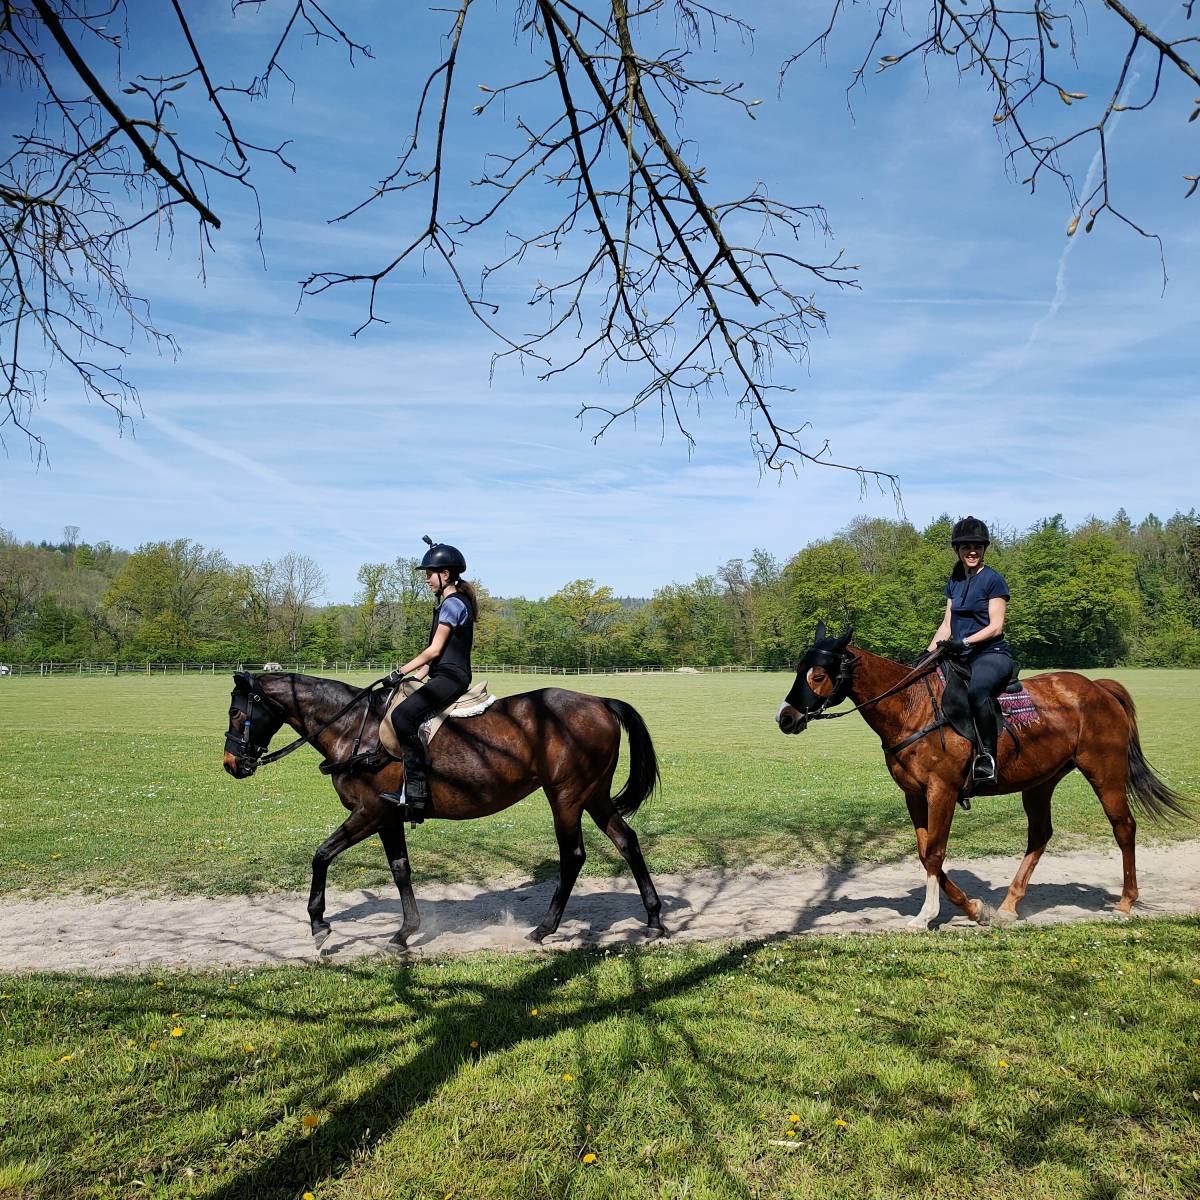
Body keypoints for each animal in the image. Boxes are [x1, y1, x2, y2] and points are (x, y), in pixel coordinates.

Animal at [218, 672, 667, 950]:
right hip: (594, 795)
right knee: (627, 840)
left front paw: (318, 924)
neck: (355, 730)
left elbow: (321, 854)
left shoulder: (368, 813)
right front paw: (405, 932)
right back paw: (654, 918)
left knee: (573, 856)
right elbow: (400, 870)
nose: (231, 764)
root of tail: (599, 701)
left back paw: (544, 928)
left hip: (567, 796)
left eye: (237, 712)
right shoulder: (388, 819)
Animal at [777, 628, 1190, 926]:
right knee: (1040, 834)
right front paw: (975, 909)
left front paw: (927, 916)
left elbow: (935, 851)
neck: (912, 706)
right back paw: (1008, 905)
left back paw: (1125, 903)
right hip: (1041, 782)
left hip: (1104, 774)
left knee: (1124, 828)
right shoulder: (915, 795)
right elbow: (925, 853)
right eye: (798, 670)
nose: (786, 717)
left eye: (818, 674)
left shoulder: (941, 791)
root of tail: (1099, 687)